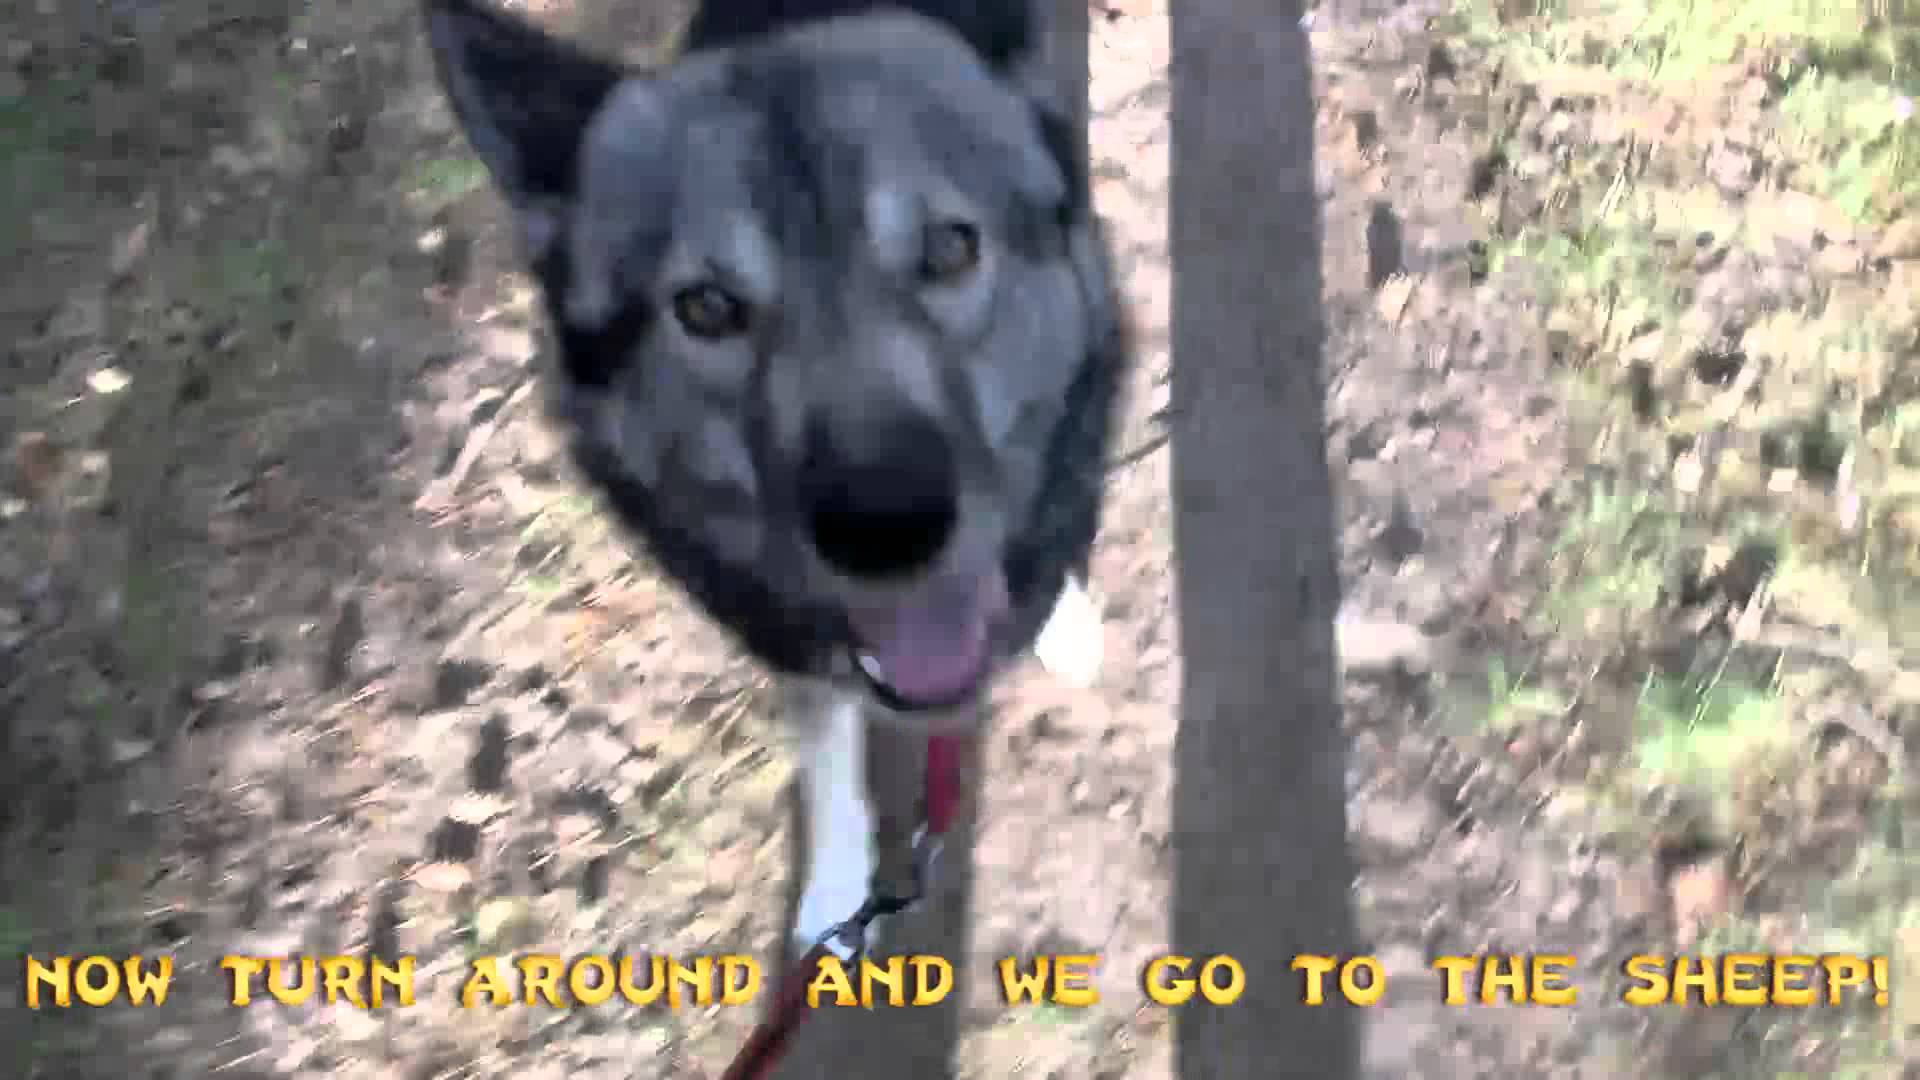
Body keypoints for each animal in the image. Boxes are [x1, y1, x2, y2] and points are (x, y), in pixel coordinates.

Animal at [420, 0, 1121, 953]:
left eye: (949, 249)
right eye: (706, 307)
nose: (884, 529)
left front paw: (1061, 622)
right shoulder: (790, 640)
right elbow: (826, 754)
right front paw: (833, 894)